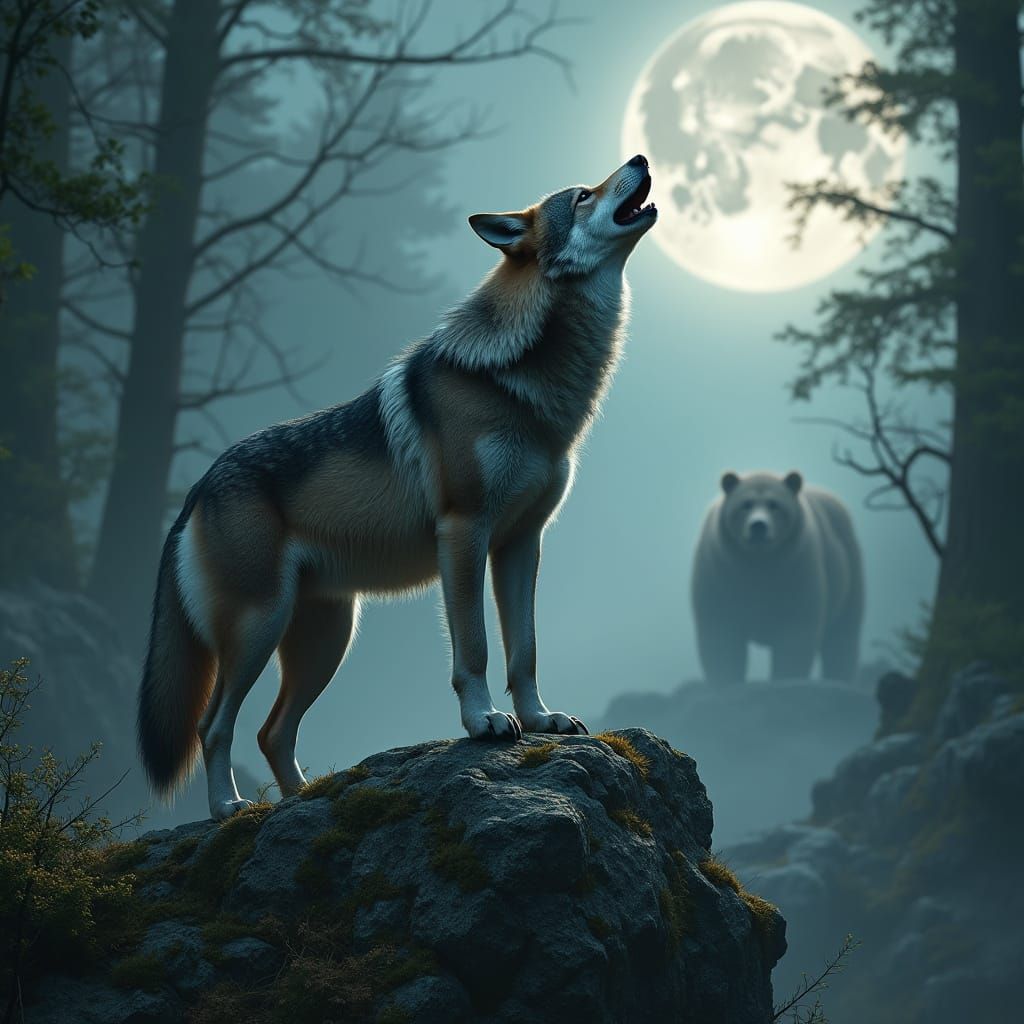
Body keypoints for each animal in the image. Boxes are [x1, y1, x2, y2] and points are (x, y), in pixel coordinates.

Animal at [138, 156, 658, 820]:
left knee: (271, 732)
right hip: (260, 629)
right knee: (215, 727)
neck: (523, 385)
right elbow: (476, 650)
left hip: (326, 641)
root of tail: (199, 486)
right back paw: (229, 808)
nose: (640, 159)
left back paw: (304, 801)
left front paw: (540, 719)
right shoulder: (464, 533)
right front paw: (485, 722)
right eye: (583, 195)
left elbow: (525, 651)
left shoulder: (522, 544)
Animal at [691, 470, 864, 684]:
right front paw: (725, 679)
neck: (760, 563)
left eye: (774, 504)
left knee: (843, 635)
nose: (758, 526)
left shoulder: (797, 571)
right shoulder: (718, 573)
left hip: (849, 568)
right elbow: (720, 634)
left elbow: (795, 634)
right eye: (745, 504)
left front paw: (786, 678)